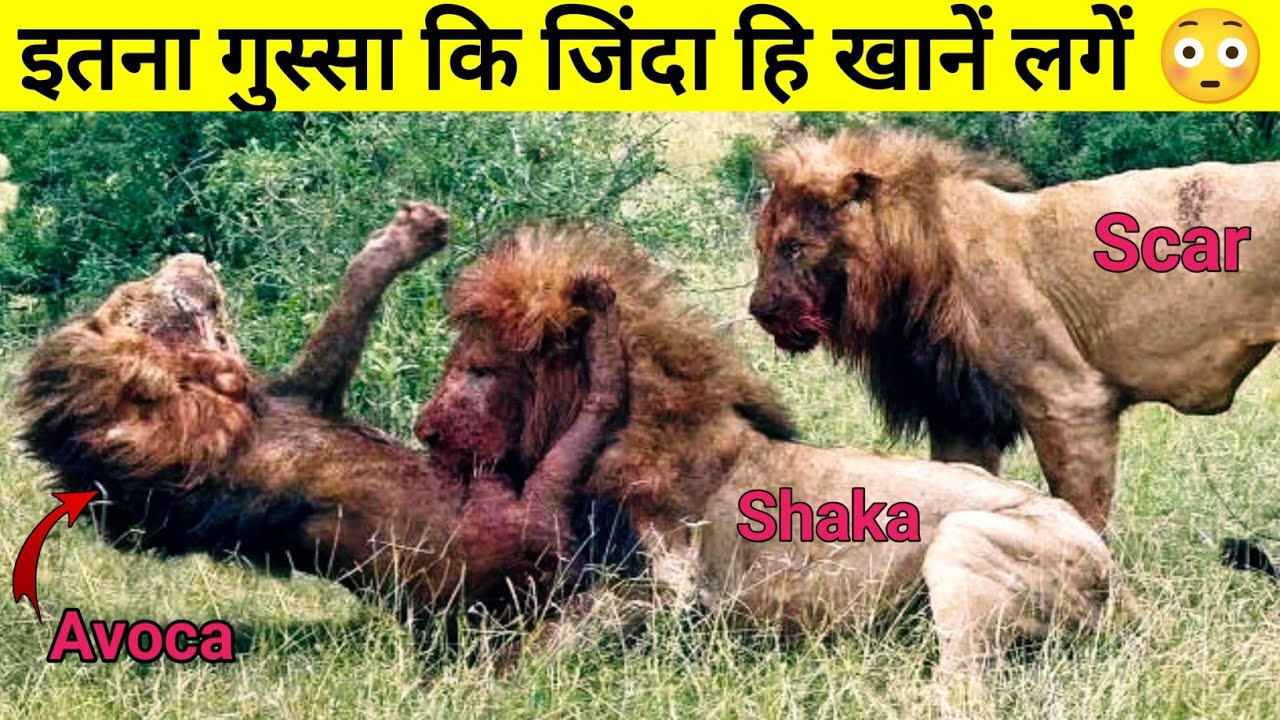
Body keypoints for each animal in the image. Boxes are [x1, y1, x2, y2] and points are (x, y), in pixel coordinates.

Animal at [16, 203, 629, 630]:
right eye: (148, 292)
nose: (191, 259)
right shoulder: (301, 395)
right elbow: (352, 299)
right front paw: (411, 233)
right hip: (546, 508)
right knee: (599, 404)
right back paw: (600, 322)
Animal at [415, 226, 1131, 672]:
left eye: (478, 370)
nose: (424, 430)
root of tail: (1112, 574)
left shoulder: (673, 594)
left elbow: (546, 643)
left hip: (964, 541)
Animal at [748, 129, 1280, 532]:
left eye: (795, 247)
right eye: (761, 246)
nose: (758, 309)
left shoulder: (1070, 400)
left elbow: (1081, 510)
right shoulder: (960, 413)